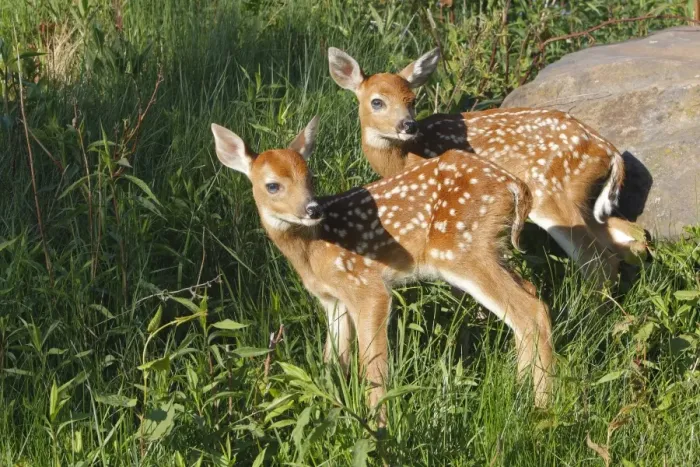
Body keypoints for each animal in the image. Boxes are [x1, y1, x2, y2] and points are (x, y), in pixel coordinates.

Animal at [211, 117, 553, 426]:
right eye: (273, 185)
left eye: (310, 178)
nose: (312, 209)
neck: (313, 251)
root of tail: (515, 185)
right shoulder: (333, 300)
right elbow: (332, 361)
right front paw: (331, 408)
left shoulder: (366, 285)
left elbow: (372, 364)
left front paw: (379, 425)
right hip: (492, 249)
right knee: (531, 297)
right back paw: (524, 392)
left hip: (464, 252)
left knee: (530, 312)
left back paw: (542, 407)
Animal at [328, 47, 649, 287]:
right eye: (377, 102)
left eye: (412, 100)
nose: (408, 125)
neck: (405, 158)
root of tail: (609, 150)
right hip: (582, 199)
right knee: (629, 235)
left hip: (552, 192)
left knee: (597, 258)